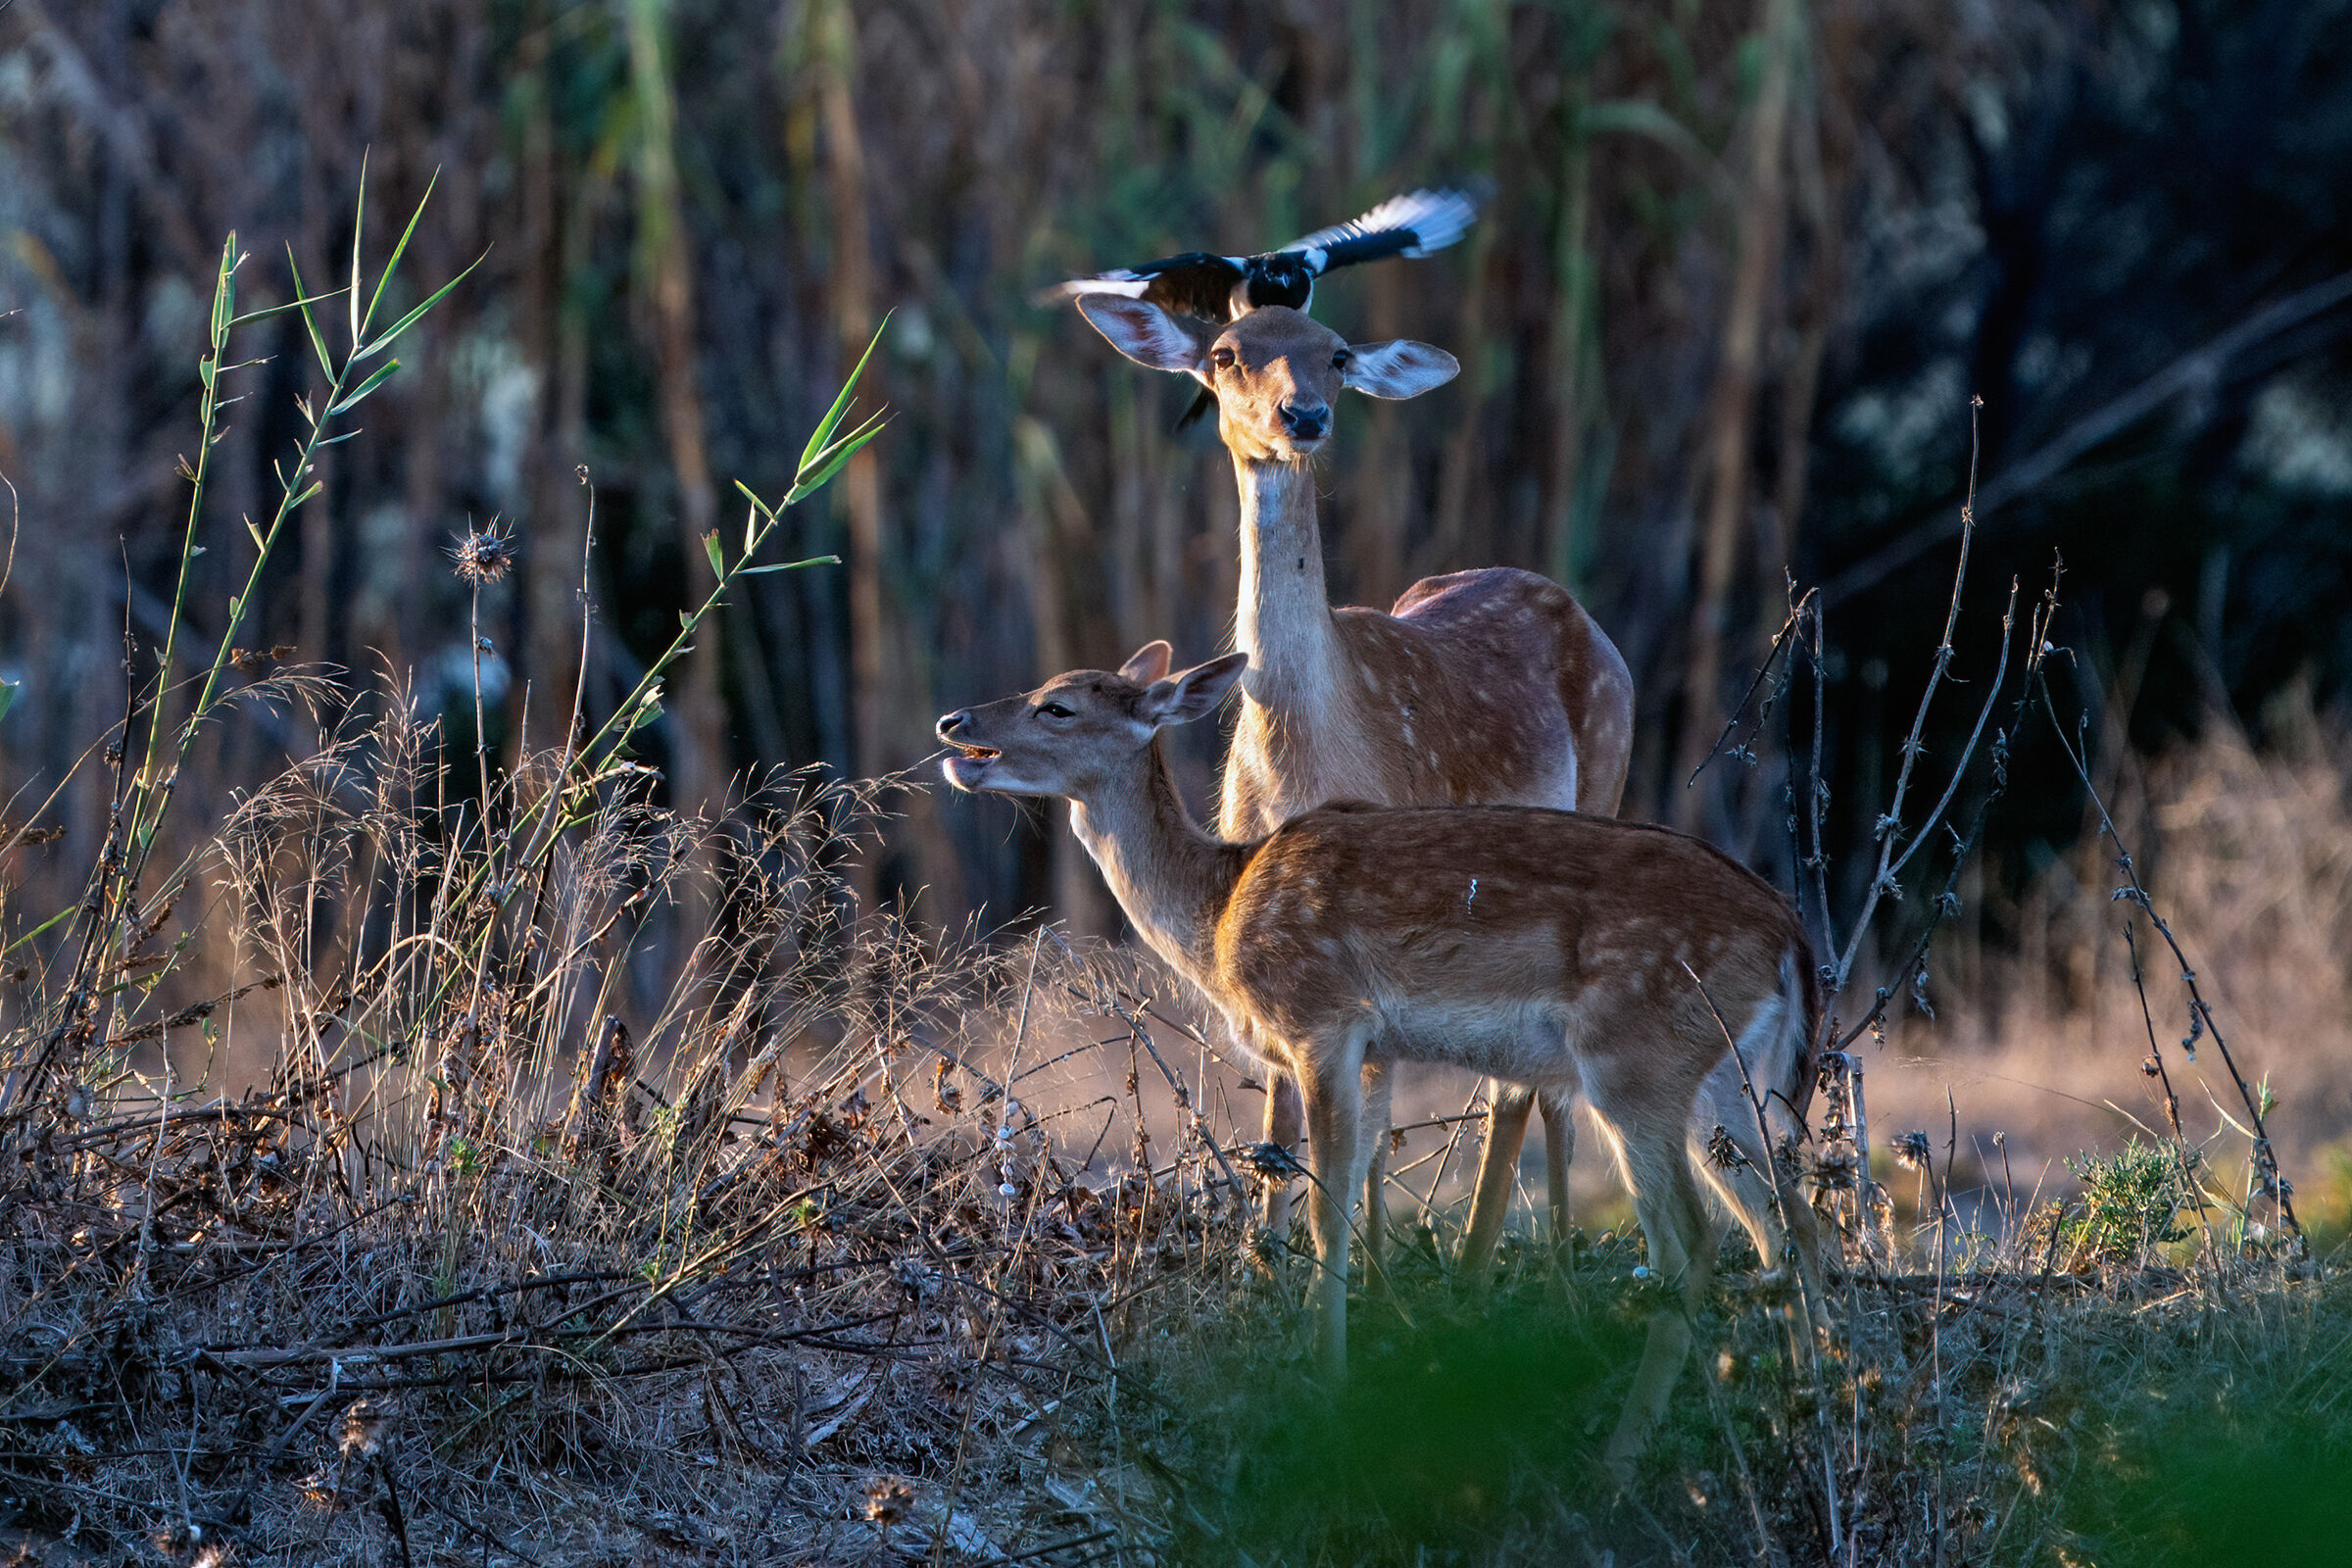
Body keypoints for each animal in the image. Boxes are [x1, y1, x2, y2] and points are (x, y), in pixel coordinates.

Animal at [935, 647, 1824, 1464]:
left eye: (1058, 707)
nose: (952, 724)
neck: (1219, 917)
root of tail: (1790, 935)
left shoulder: (1321, 1021)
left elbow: (1326, 1210)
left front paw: (1331, 1389)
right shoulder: (1368, 1047)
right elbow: (1352, 1190)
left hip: (1634, 1060)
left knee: (1693, 1244)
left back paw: (1622, 1458)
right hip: (1726, 1081)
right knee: (1793, 1224)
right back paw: (1807, 1421)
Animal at [1072, 295, 1636, 1274]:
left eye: (1334, 353)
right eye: (1227, 354)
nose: (1302, 417)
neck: (1300, 756)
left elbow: (1368, 1115)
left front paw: (1369, 1277)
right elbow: (1282, 1114)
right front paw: (1275, 1266)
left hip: (1604, 784)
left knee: (1529, 1087)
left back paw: (1503, 1260)